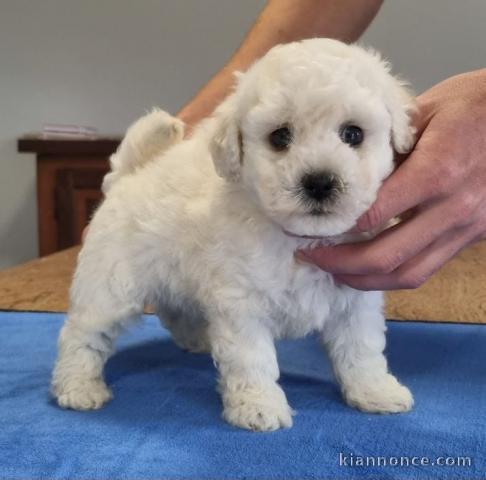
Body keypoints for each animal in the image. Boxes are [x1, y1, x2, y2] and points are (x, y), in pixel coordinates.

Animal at [51, 39, 416, 434]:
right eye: (279, 137)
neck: (300, 238)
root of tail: (129, 176)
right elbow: (252, 359)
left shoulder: (354, 299)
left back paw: (197, 340)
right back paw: (77, 386)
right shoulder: (242, 303)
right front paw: (258, 406)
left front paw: (375, 391)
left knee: (174, 311)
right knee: (82, 334)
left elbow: (361, 349)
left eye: (353, 134)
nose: (319, 182)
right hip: (109, 286)